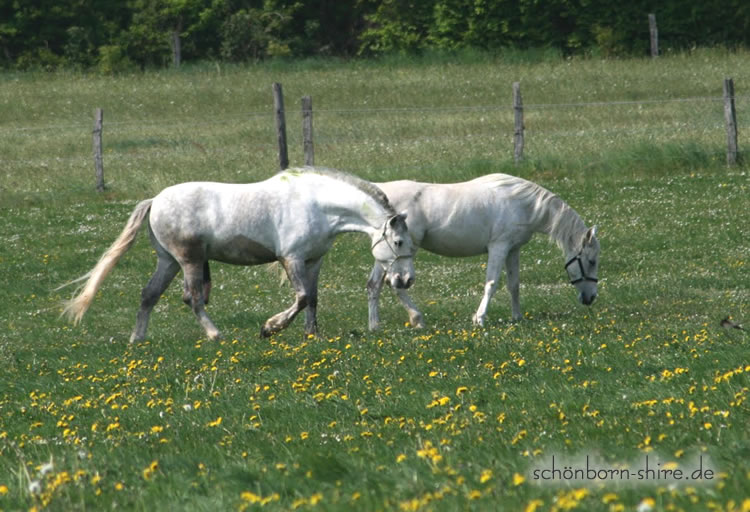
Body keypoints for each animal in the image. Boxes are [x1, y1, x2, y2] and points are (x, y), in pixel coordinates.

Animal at [59, 167, 415, 341]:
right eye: (399, 242)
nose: (405, 280)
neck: (317, 204)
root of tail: (155, 200)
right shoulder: (292, 259)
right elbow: (300, 298)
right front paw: (270, 328)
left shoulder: (314, 261)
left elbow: (313, 298)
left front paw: (311, 334)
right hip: (189, 260)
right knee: (193, 299)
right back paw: (215, 334)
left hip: (169, 261)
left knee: (149, 295)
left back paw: (137, 339)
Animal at [366, 173, 599, 330]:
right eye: (592, 261)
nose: (591, 298)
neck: (524, 204)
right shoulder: (499, 247)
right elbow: (492, 284)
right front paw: (479, 318)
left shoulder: (513, 249)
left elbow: (514, 285)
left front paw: (517, 317)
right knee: (393, 284)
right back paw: (416, 319)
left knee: (375, 285)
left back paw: (376, 326)